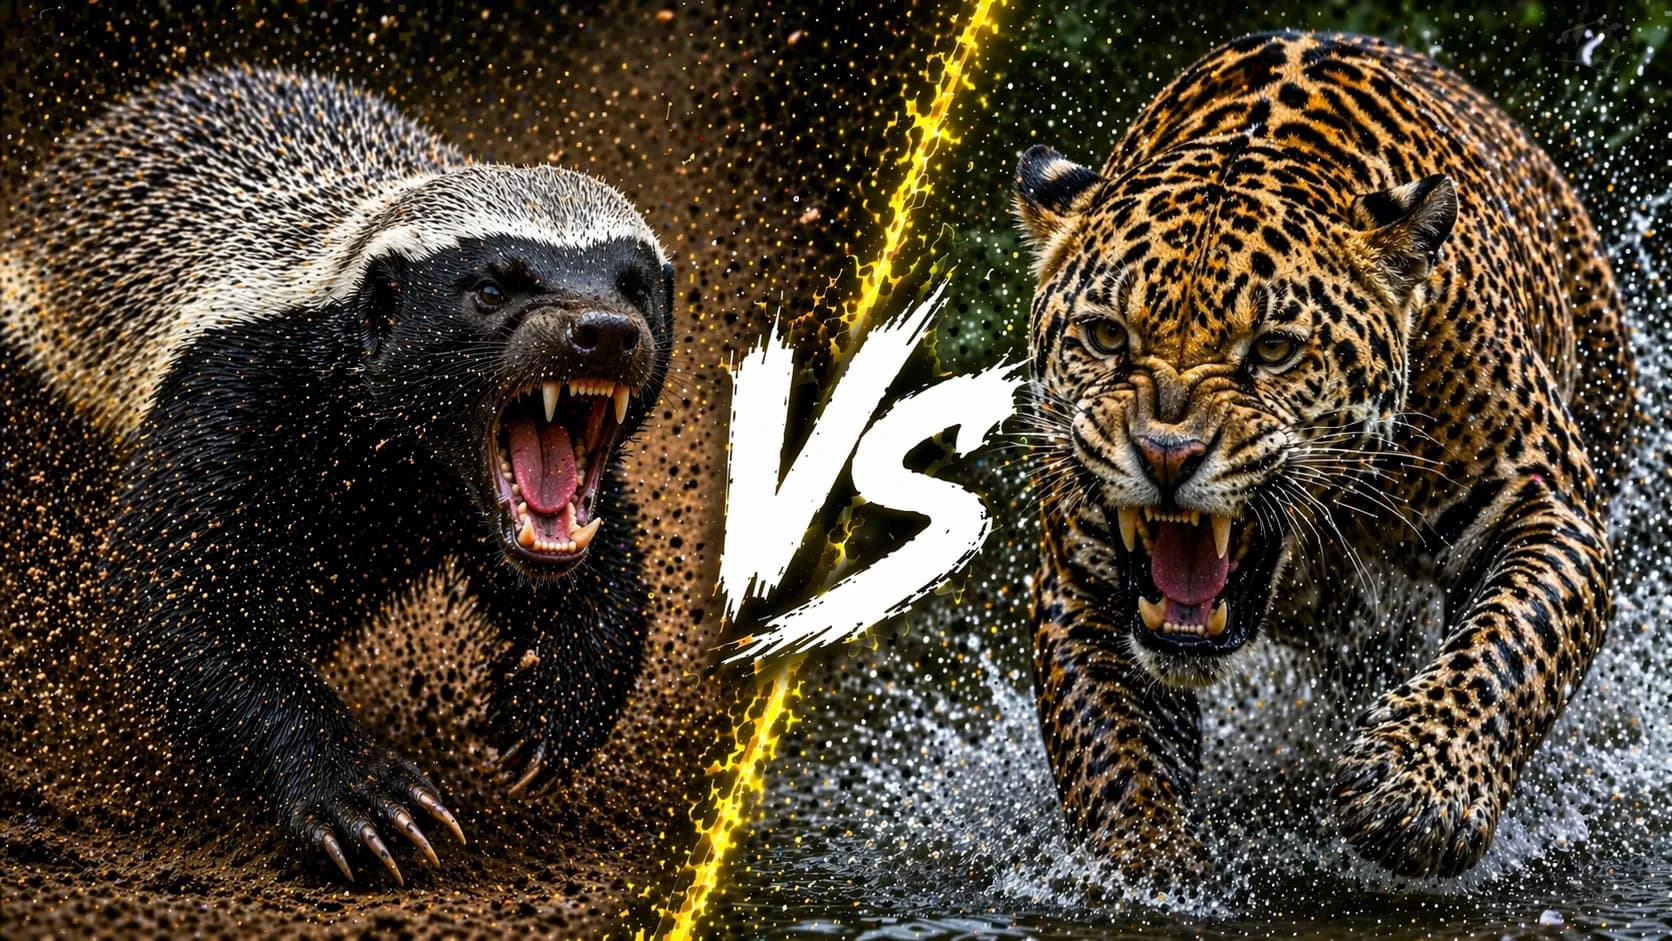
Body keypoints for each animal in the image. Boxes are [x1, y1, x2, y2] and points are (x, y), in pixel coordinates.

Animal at [1014, 30, 1636, 880]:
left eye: (1275, 349)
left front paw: (1416, 786)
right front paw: (1142, 857)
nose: (1166, 455)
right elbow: (1108, 734)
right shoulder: (1079, 567)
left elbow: (1513, 642)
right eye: (1106, 335)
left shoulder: (1548, 501)